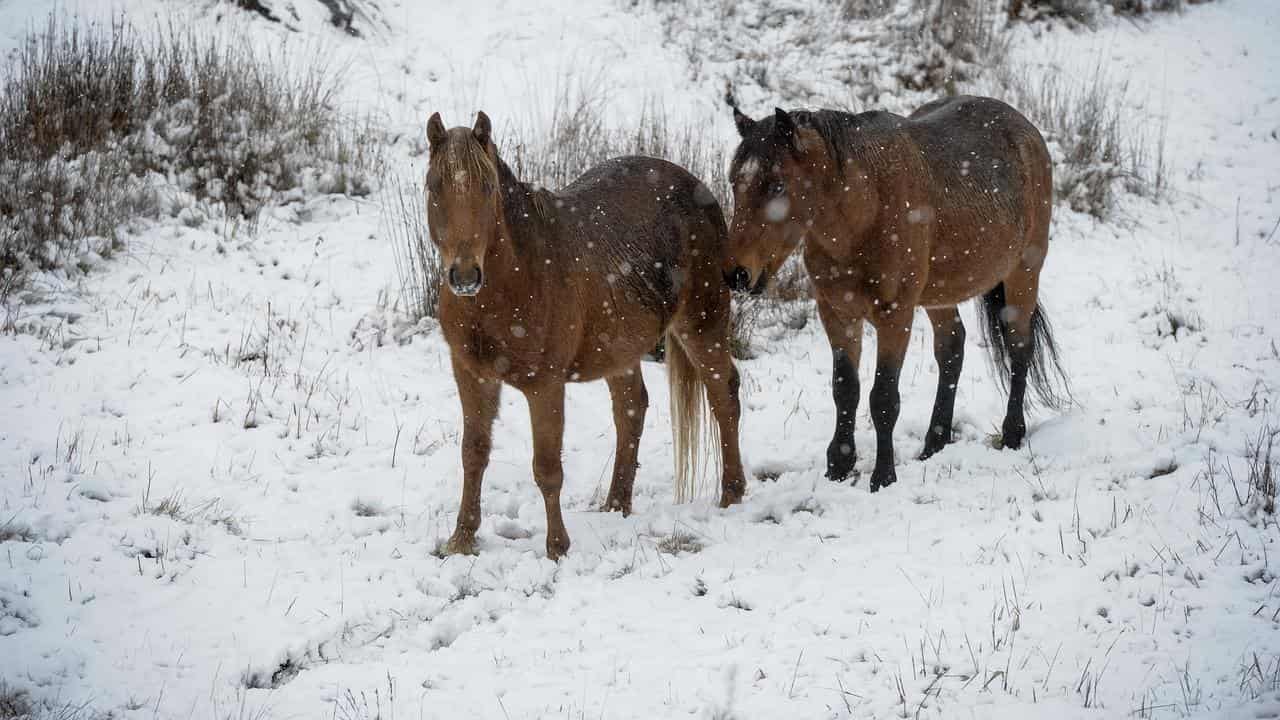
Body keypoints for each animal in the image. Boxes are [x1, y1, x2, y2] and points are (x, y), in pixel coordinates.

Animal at [424, 110, 747, 561]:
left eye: (487, 188)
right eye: (433, 186)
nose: (465, 275)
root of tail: (697, 187)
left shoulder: (544, 385)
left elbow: (546, 468)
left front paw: (557, 548)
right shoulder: (471, 375)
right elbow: (473, 453)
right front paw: (462, 539)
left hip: (701, 323)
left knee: (724, 396)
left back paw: (731, 494)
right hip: (621, 348)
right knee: (632, 409)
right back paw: (616, 505)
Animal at [721, 94, 1070, 486]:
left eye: (777, 186)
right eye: (735, 183)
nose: (736, 273)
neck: (864, 209)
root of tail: (1025, 127)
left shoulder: (895, 316)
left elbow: (884, 398)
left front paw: (883, 476)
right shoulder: (837, 312)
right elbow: (845, 389)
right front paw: (838, 465)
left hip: (1023, 272)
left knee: (1018, 346)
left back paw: (1011, 434)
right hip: (941, 295)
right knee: (952, 348)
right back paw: (934, 442)